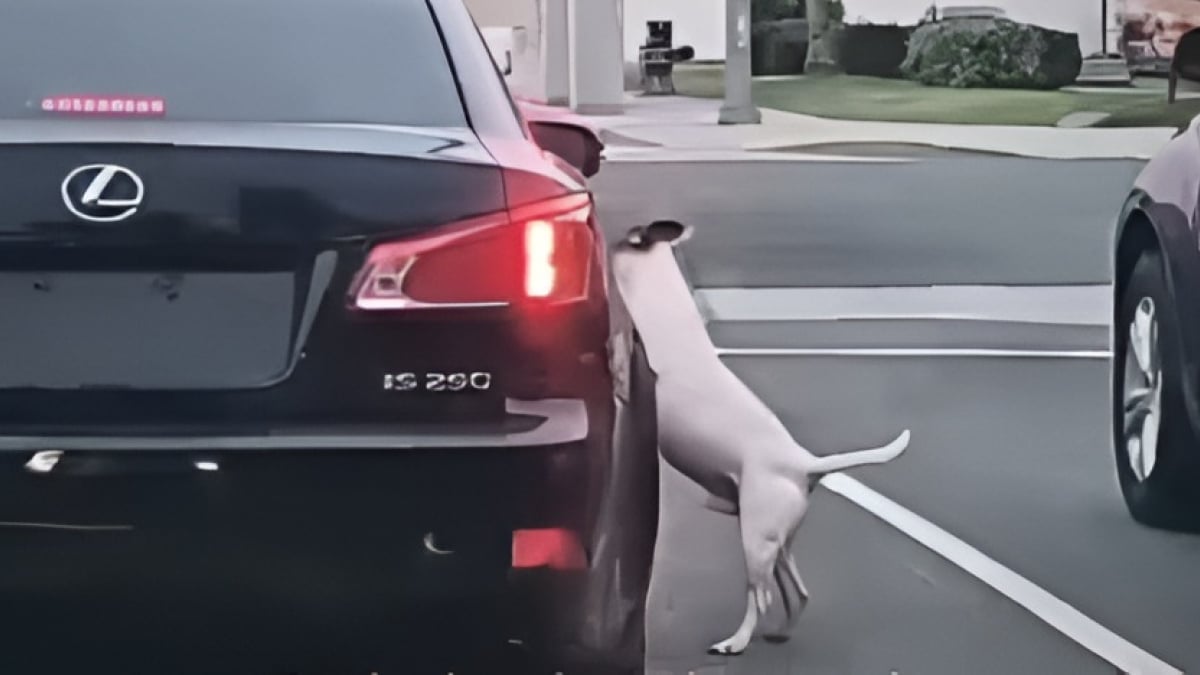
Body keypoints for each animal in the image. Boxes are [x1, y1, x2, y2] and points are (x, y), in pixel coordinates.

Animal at [609, 220, 907, 653]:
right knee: (797, 593)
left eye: (625, 238)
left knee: (761, 597)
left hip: (755, 538)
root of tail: (804, 465)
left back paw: (735, 642)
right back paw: (779, 631)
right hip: (775, 541)